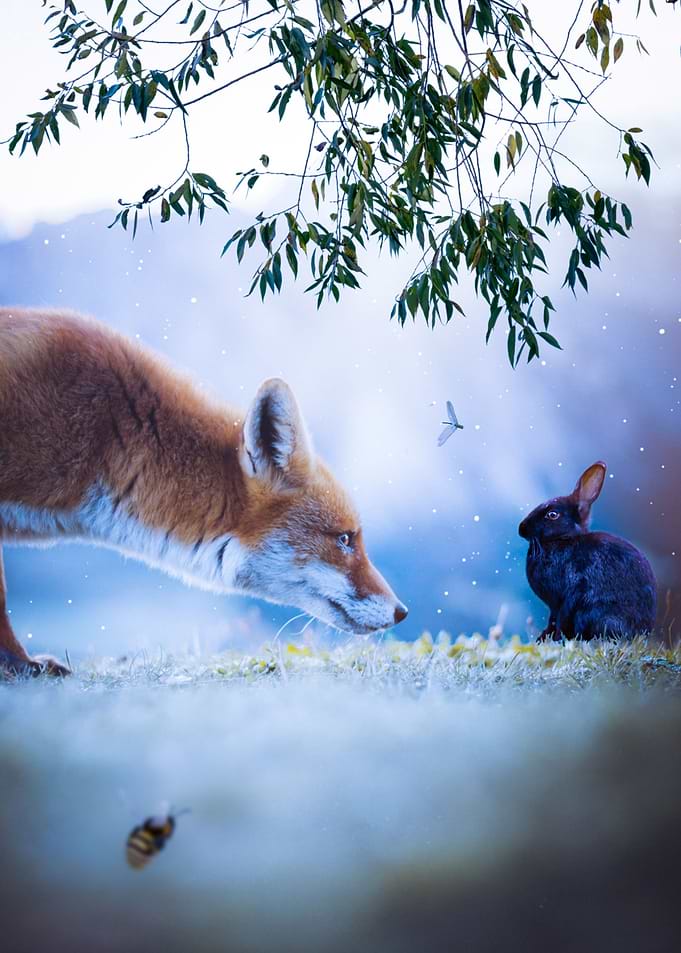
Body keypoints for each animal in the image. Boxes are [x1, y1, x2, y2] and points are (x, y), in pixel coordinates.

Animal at [518, 461, 657, 641]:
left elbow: (560, 619)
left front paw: (553, 639)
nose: (521, 529)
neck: (563, 539)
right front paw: (542, 638)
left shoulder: (567, 596)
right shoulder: (556, 606)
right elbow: (553, 620)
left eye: (552, 514)